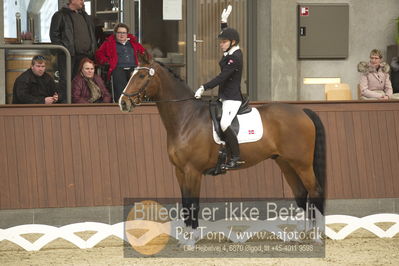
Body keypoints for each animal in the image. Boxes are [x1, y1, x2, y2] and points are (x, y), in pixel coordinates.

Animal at [119, 51, 324, 231]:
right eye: (131, 74)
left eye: (142, 75)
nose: (122, 102)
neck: (187, 117)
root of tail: (302, 111)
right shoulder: (179, 171)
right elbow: (185, 203)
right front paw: (185, 235)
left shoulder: (193, 171)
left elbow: (193, 205)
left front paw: (193, 237)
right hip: (285, 163)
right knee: (301, 193)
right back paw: (302, 233)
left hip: (302, 164)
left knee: (315, 191)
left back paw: (316, 233)